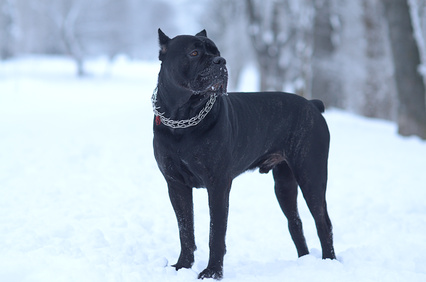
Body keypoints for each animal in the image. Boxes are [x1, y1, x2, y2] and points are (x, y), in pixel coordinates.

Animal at [153, 29, 336, 280]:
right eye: (194, 53)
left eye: (217, 52)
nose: (221, 61)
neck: (183, 118)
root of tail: (311, 104)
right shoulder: (176, 185)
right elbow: (185, 229)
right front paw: (183, 266)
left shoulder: (218, 185)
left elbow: (216, 232)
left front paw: (212, 272)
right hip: (284, 184)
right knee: (295, 222)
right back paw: (303, 262)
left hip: (311, 176)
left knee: (323, 222)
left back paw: (329, 263)